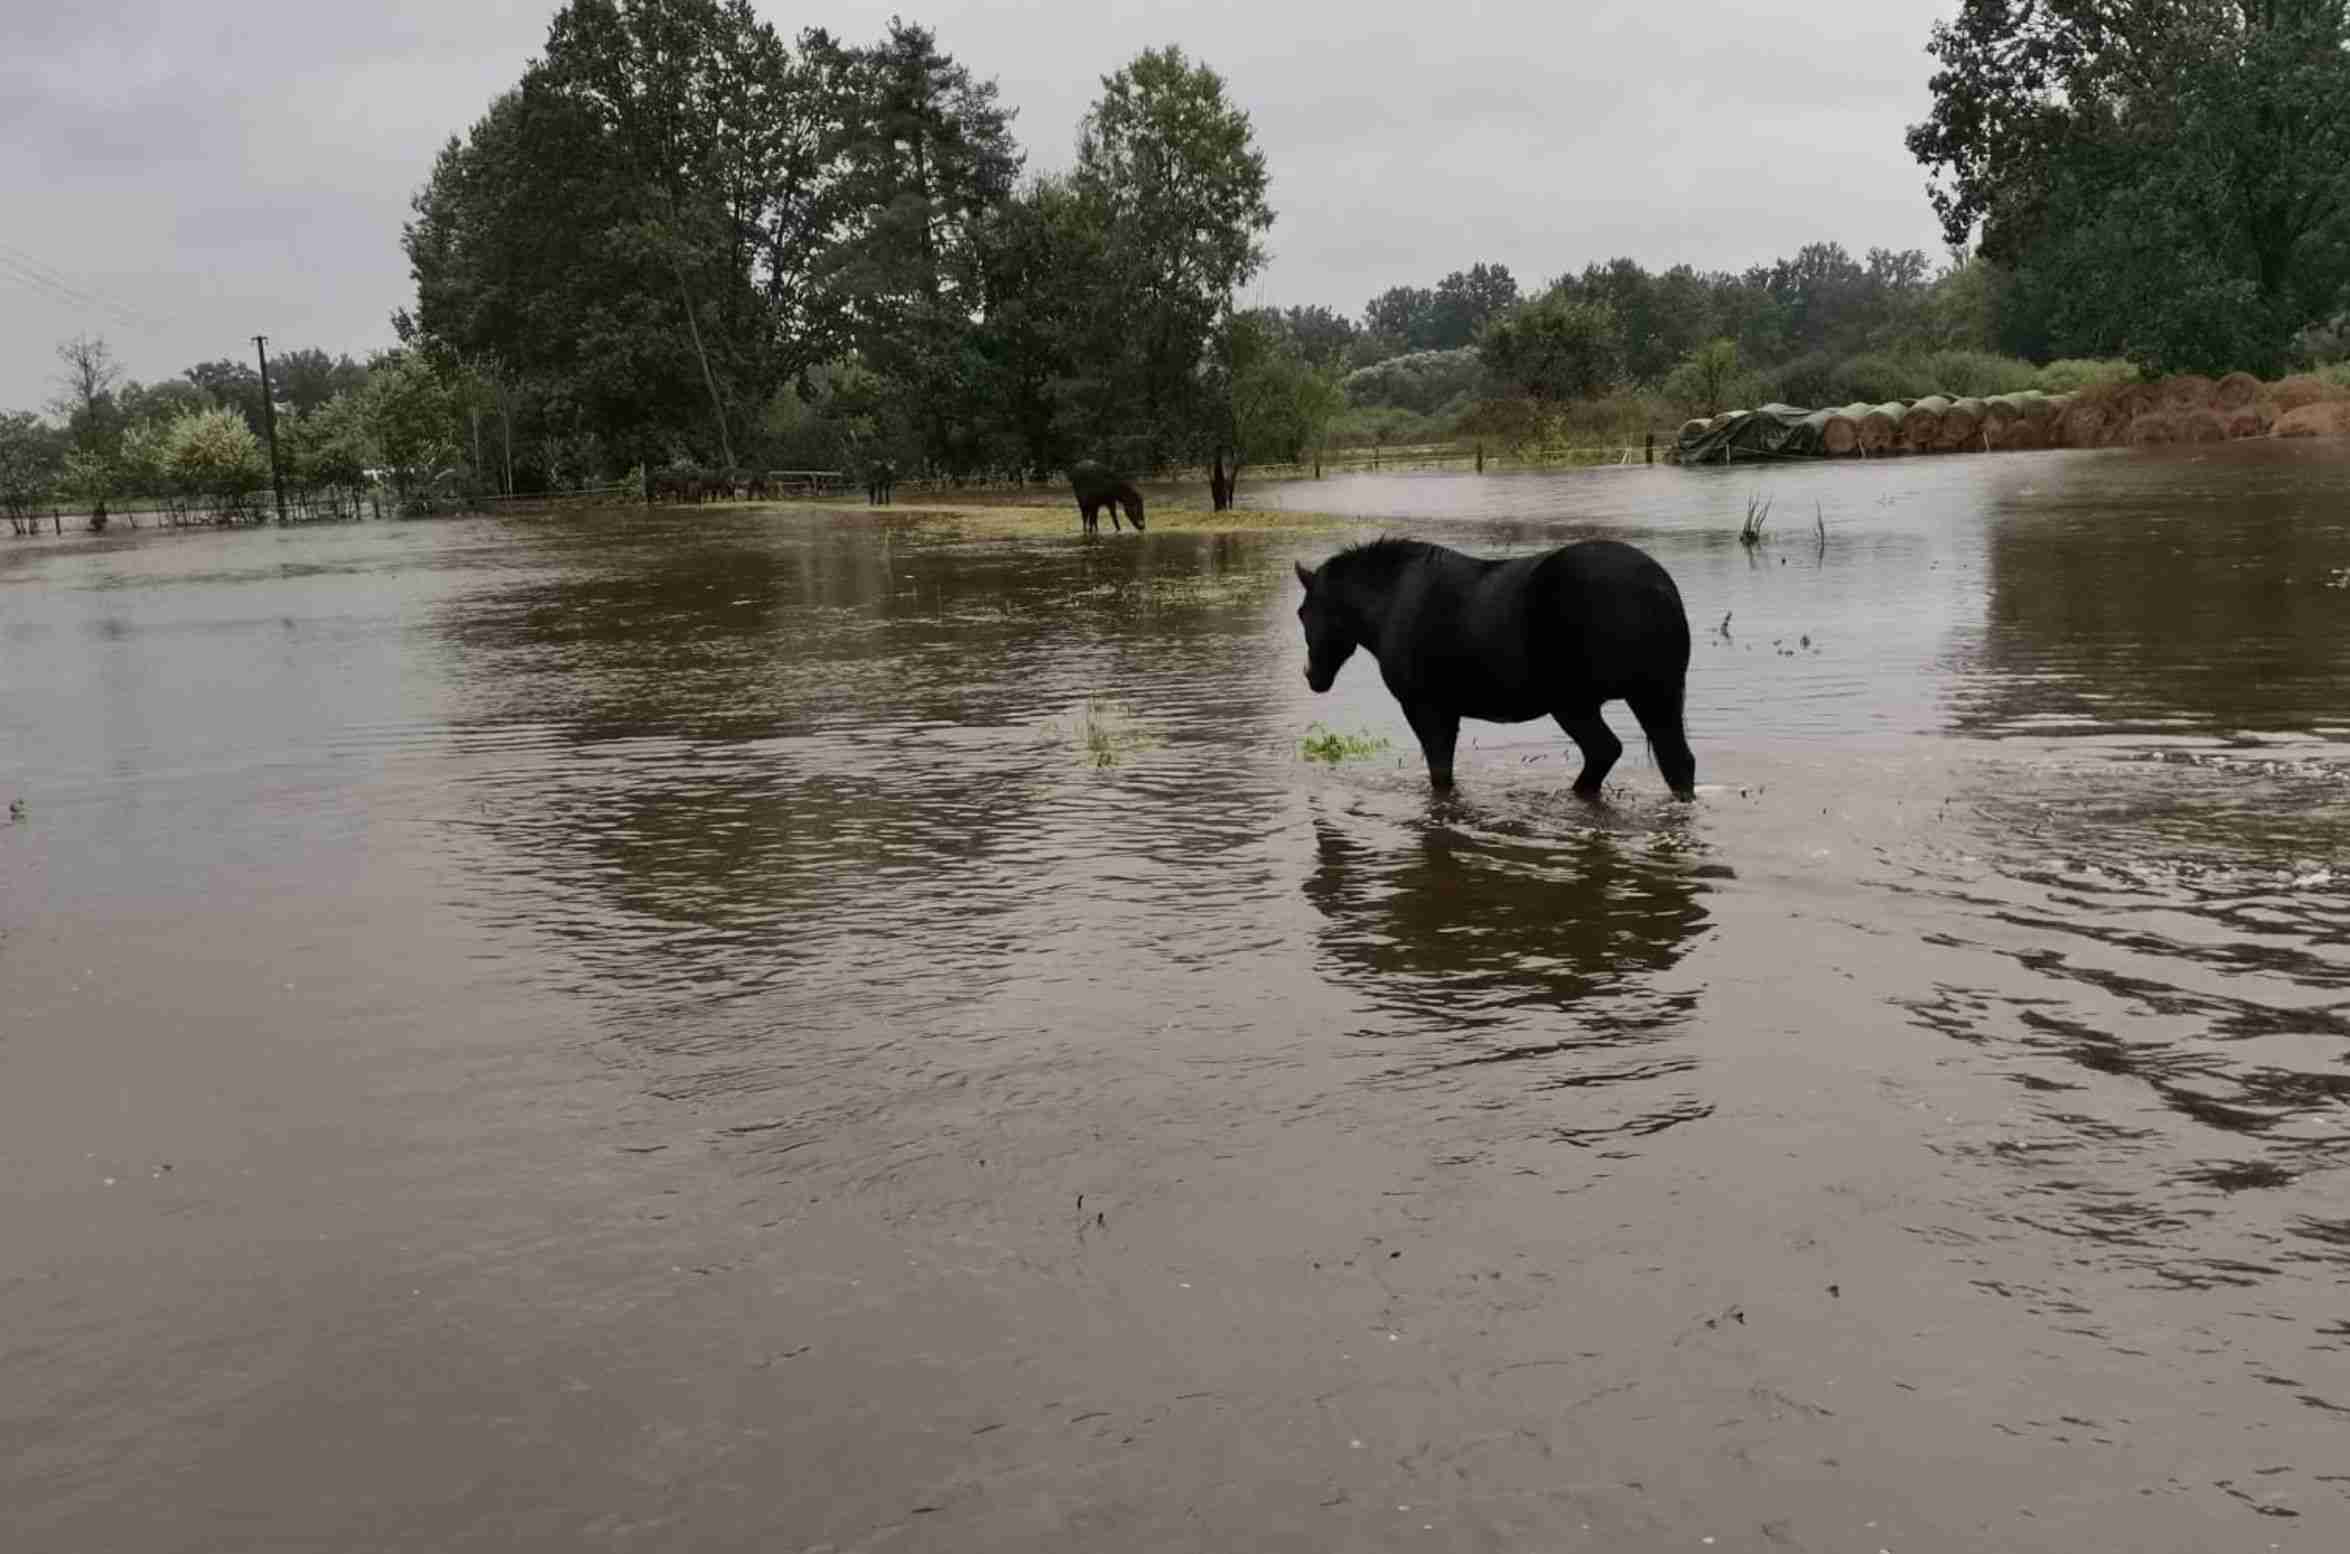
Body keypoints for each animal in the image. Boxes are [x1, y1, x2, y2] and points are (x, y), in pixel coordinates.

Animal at [1297, 536, 1701, 799]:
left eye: (1303, 613)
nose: (1312, 676)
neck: (1390, 602)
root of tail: (1660, 587)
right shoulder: (1446, 712)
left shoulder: (1425, 708)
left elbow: (1440, 775)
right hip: (1654, 694)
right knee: (1676, 763)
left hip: (1575, 702)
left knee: (1606, 751)